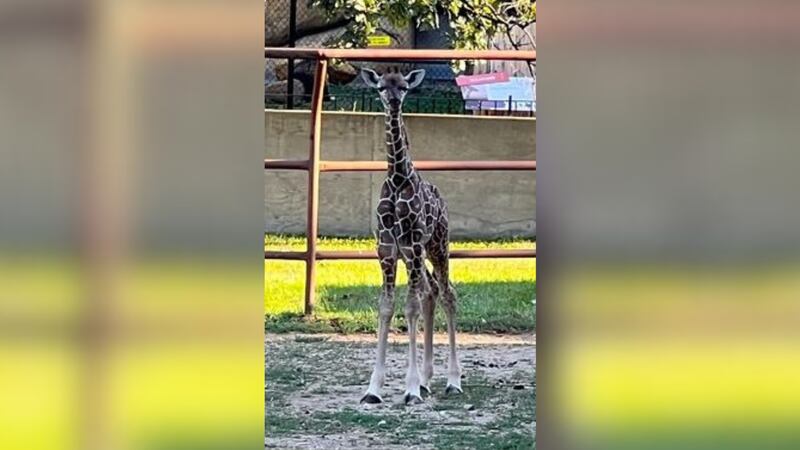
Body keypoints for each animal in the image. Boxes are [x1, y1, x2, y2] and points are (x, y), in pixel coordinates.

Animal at [358, 67, 462, 406]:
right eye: (380, 87)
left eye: (403, 87)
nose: (393, 101)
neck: (397, 178)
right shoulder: (387, 249)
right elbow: (387, 306)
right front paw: (373, 389)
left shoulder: (414, 244)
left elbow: (410, 307)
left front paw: (411, 388)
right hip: (413, 256)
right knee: (431, 290)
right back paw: (429, 381)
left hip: (438, 244)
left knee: (447, 293)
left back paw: (452, 381)